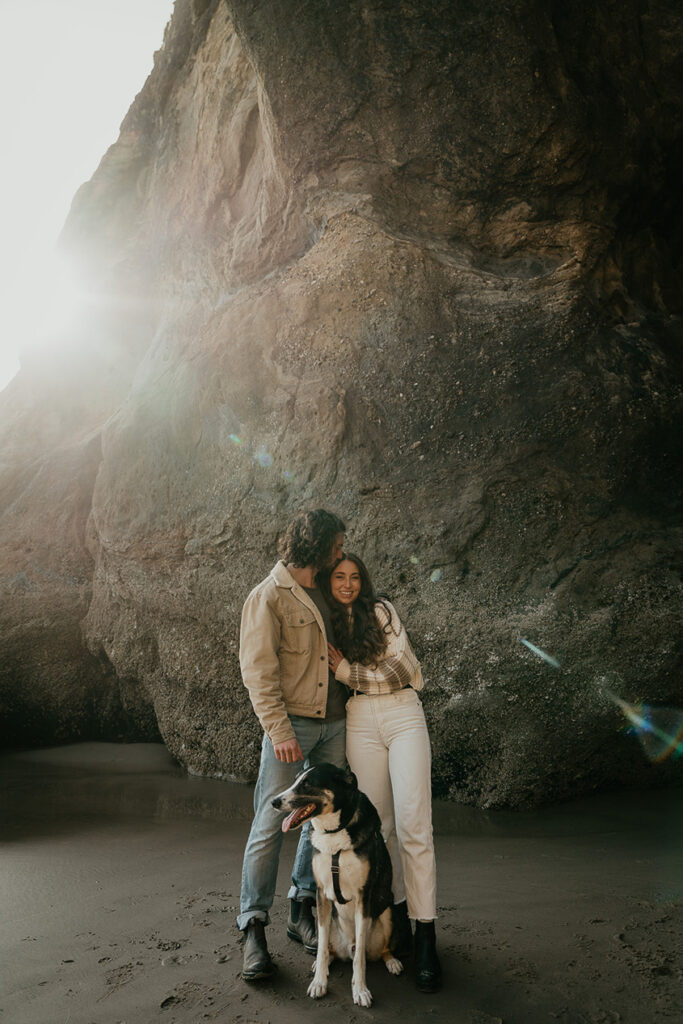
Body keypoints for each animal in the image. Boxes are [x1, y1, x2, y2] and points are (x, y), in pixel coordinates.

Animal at [270, 761, 403, 1007]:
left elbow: (360, 959)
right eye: (296, 780)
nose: (274, 802)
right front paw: (319, 982)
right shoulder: (322, 895)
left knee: (379, 950)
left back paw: (392, 961)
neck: (334, 833)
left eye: (307, 784)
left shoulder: (363, 897)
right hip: (330, 922)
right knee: (329, 949)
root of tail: (347, 947)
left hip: (388, 913)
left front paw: (360, 990)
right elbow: (321, 948)